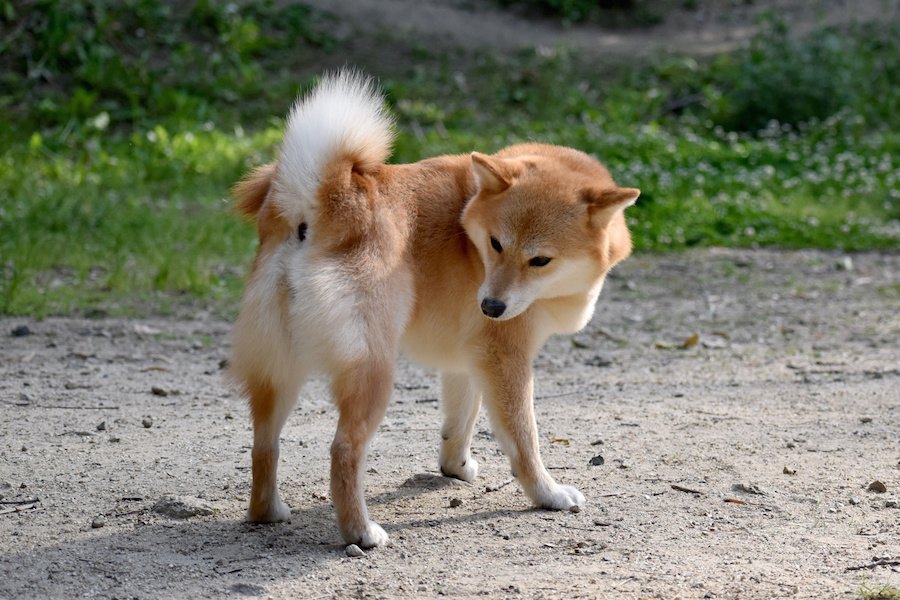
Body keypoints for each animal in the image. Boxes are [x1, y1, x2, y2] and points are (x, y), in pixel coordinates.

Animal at [232, 70, 640, 548]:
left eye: (540, 260)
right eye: (496, 245)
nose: (491, 305)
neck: (469, 221)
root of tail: (326, 200)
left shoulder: (470, 360)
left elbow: (460, 421)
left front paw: (455, 468)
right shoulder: (507, 359)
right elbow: (524, 440)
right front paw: (547, 493)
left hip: (279, 371)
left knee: (264, 444)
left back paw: (268, 511)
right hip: (372, 373)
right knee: (344, 451)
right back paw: (361, 532)